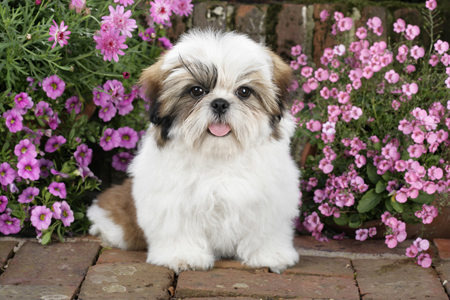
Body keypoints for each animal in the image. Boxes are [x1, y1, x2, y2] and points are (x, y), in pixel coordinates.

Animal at [86, 29, 300, 274]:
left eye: (244, 92)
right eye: (196, 91)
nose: (220, 103)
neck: (220, 155)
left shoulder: (270, 199)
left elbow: (264, 229)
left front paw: (269, 255)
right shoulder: (172, 200)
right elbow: (178, 227)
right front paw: (183, 256)